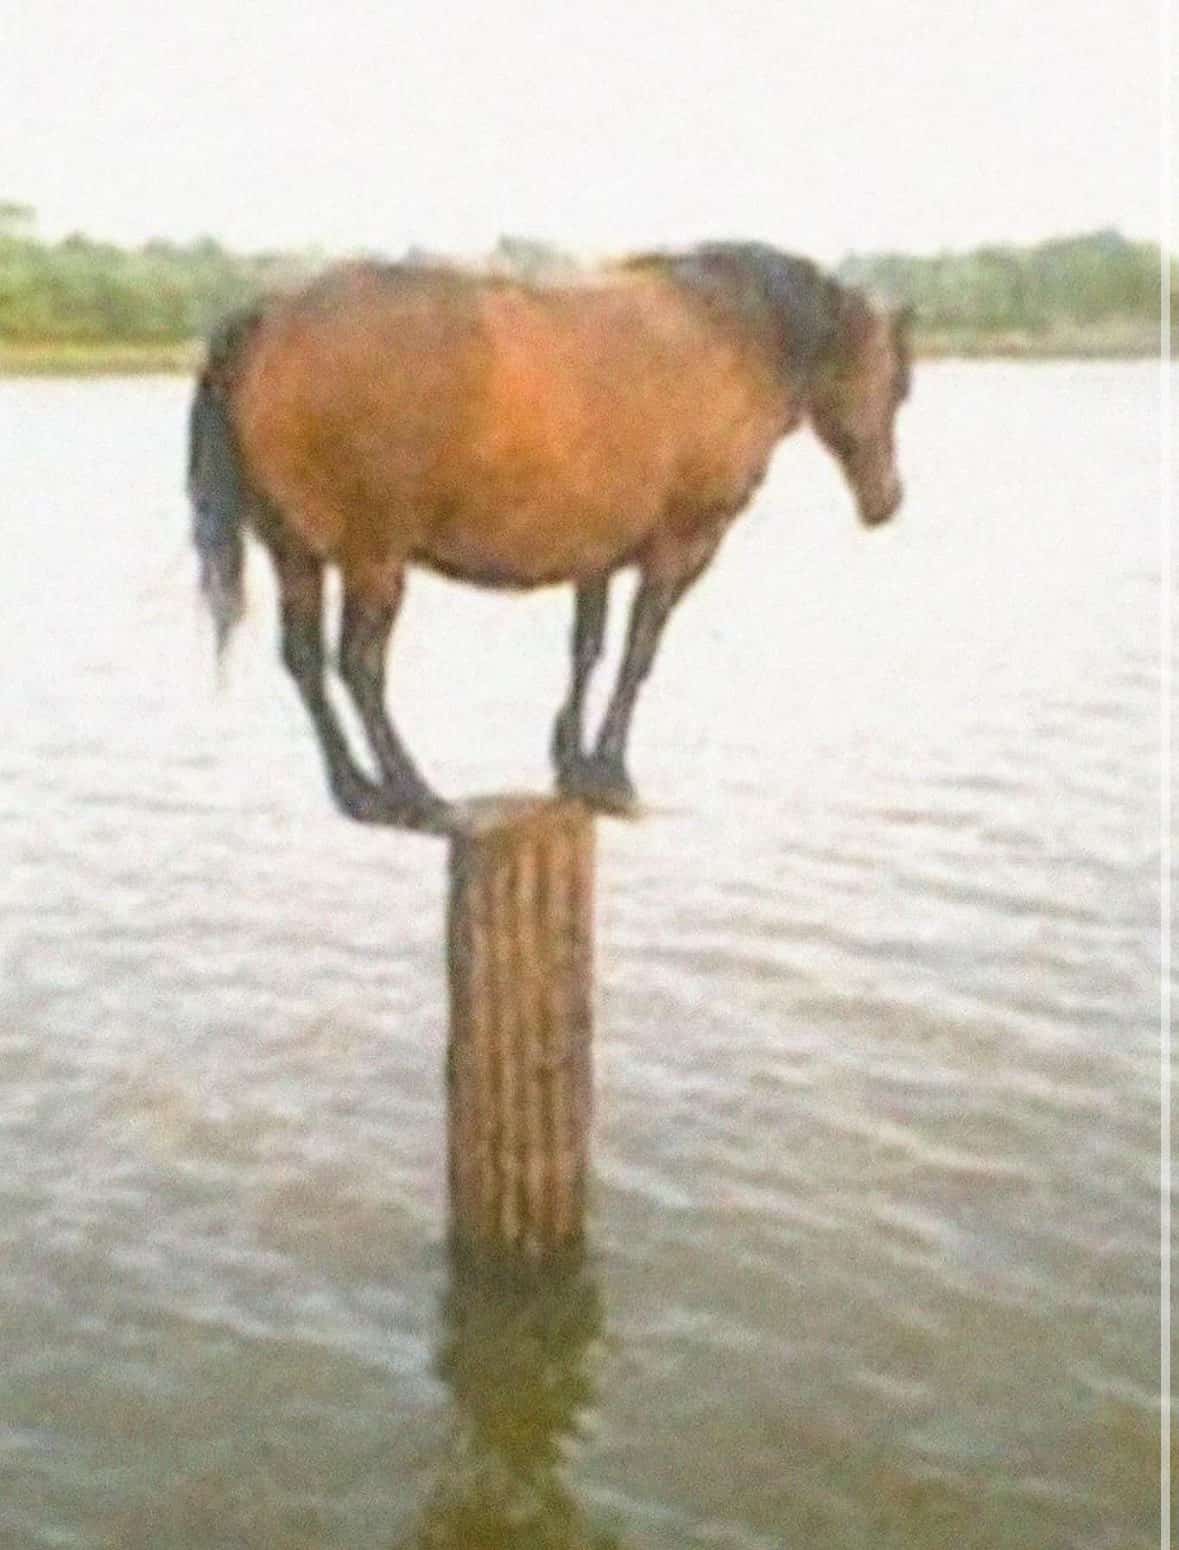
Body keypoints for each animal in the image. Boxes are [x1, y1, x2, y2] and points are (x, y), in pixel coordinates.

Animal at [186, 241, 911, 829]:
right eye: (895, 384)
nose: (888, 500)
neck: (727, 334)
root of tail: (271, 316)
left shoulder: (597, 552)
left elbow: (586, 650)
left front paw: (573, 764)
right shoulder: (680, 545)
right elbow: (638, 652)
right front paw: (612, 776)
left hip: (294, 552)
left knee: (304, 660)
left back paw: (358, 792)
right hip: (374, 560)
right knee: (359, 666)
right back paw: (414, 793)